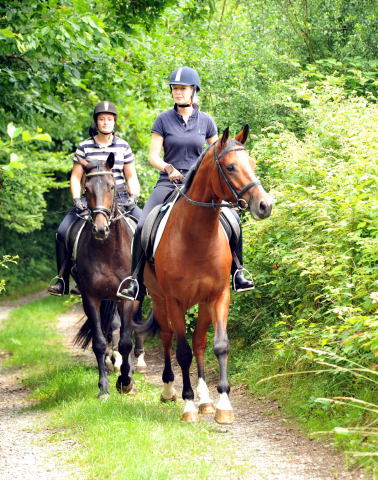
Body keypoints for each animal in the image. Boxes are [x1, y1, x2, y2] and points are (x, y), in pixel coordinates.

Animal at [74, 153, 146, 398]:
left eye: (112, 186)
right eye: (86, 189)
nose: (100, 229)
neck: (107, 250)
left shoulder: (127, 297)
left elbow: (124, 342)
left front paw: (126, 382)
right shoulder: (91, 298)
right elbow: (99, 342)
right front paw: (104, 387)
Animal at [140, 124, 270, 424]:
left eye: (252, 163)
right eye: (231, 166)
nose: (265, 205)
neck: (196, 237)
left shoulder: (218, 295)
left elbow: (219, 345)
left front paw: (222, 405)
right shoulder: (175, 301)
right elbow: (182, 352)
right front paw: (188, 405)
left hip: (201, 303)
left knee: (199, 342)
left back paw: (206, 400)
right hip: (159, 300)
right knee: (167, 338)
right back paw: (169, 391)